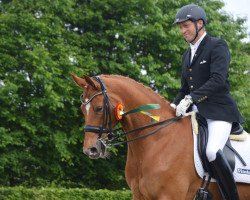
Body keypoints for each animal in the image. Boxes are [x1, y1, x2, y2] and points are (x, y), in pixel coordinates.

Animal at [71, 74, 250, 199]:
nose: (90, 149)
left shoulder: (170, 196)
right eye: (82, 109)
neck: (157, 140)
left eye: (99, 108)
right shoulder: (139, 196)